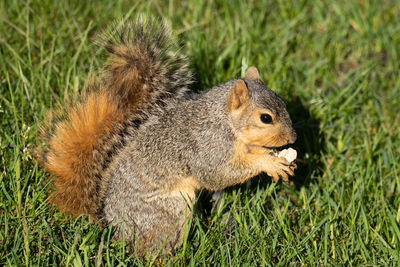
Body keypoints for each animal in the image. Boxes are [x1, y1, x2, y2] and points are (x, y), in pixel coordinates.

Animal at [35, 18, 296, 258]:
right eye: (265, 118)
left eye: (284, 102)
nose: (293, 137)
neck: (225, 120)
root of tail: (113, 227)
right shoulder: (209, 146)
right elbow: (216, 174)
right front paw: (268, 163)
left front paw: (274, 158)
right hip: (169, 210)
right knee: (151, 248)